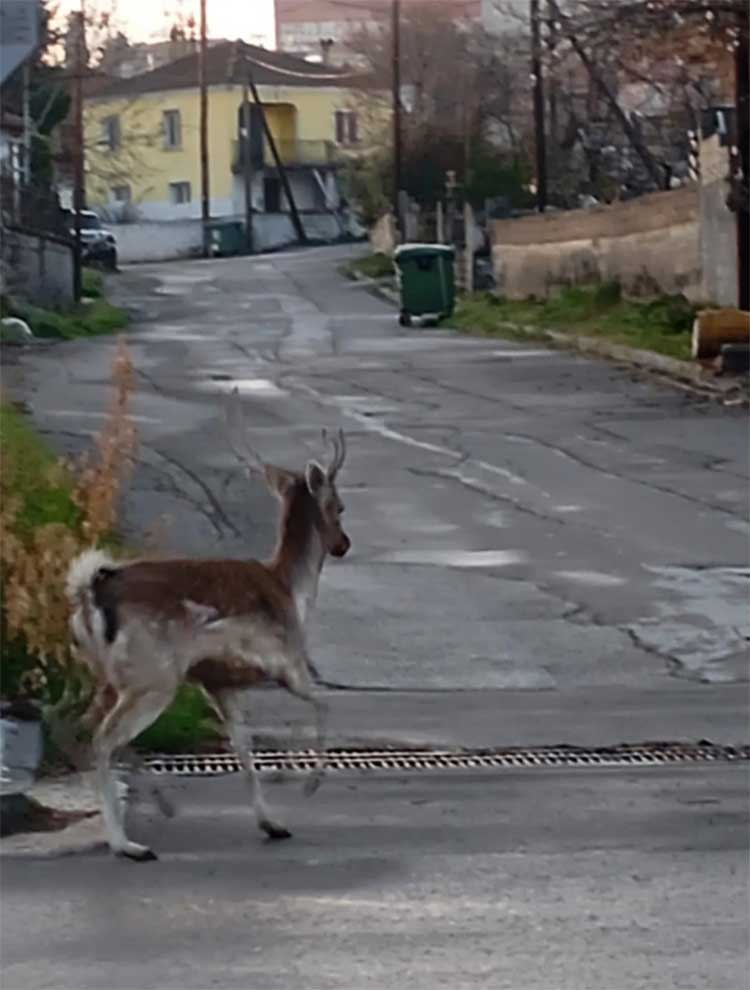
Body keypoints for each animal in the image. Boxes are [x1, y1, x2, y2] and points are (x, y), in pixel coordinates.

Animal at [64, 388, 350, 860]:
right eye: (340, 506)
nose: (344, 544)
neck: (292, 591)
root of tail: (92, 591)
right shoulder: (287, 661)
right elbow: (323, 706)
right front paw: (307, 783)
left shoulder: (219, 683)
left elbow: (244, 749)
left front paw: (272, 823)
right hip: (153, 676)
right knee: (104, 739)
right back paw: (127, 844)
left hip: (106, 675)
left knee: (86, 728)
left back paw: (158, 807)